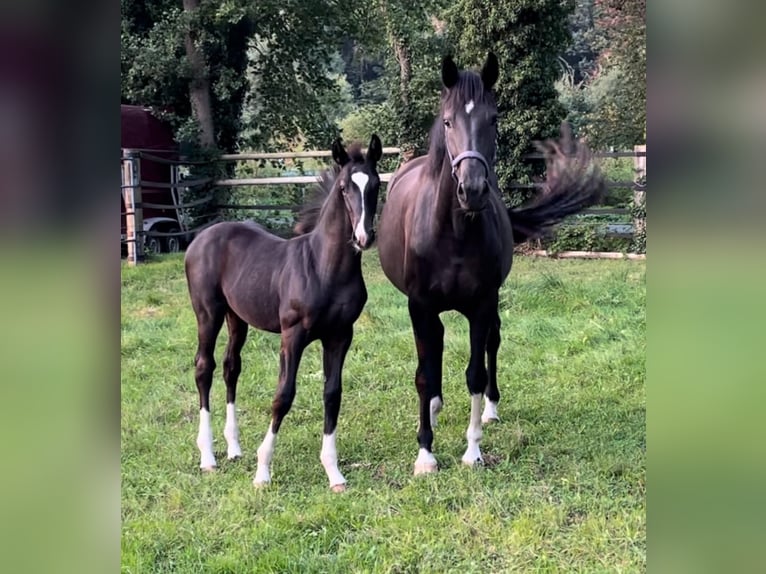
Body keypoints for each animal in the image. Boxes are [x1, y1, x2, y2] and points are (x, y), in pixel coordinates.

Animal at [186, 135, 384, 490]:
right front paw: (262, 470)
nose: (364, 237)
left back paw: (234, 448)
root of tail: (202, 236)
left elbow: (332, 394)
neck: (324, 267)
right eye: (344, 187)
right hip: (207, 313)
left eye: (375, 184)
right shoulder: (293, 335)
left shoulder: (340, 335)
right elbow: (283, 395)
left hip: (237, 318)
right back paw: (207, 456)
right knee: (203, 367)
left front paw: (334, 472)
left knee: (231, 367)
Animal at [378, 55, 608, 476]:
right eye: (448, 121)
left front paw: (473, 450)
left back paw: (490, 409)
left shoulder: (482, 304)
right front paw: (425, 453)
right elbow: (423, 374)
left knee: (491, 345)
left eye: (494, 119)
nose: (472, 190)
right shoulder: (419, 305)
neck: (453, 233)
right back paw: (433, 410)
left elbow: (475, 372)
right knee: (434, 348)